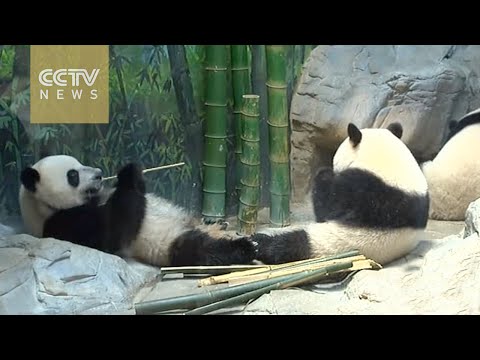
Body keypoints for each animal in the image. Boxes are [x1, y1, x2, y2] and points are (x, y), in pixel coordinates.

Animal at [17, 155, 258, 268]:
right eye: (73, 175)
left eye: (79, 163)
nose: (99, 174)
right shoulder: (64, 225)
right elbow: (114, 236)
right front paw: (127, 173)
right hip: (168, 243)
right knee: (204, 249)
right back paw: (245, 247)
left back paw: (217, 225)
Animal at [249, 122, 430, 266]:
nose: (333, 165)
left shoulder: (360, 189)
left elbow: (327, 207)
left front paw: (325, 174)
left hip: (328, 242)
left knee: (291, 244)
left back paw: (259, 243)